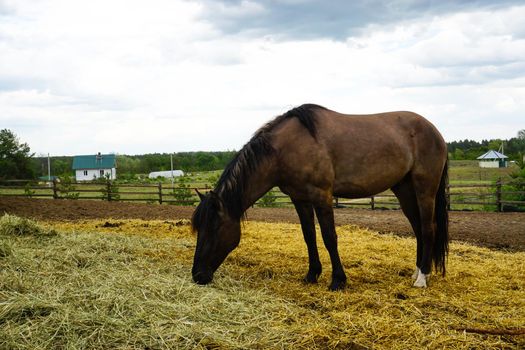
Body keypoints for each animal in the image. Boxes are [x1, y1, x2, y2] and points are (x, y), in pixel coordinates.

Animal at [190, 104, 448, 290]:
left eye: (214, 228)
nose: (198, 275)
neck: (286, 148)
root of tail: (434, 130)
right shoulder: (300, 199)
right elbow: (309, 236)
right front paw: (312, 274)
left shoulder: (322, 196)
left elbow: (329, 237)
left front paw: (338, 280)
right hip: (404, 190)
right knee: (418, 228)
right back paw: (416, 272)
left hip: (425, 188)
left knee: (428, 228)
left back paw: (422, 279)